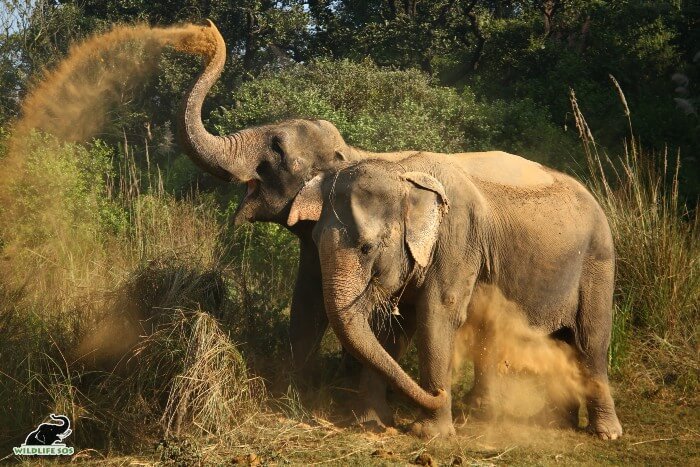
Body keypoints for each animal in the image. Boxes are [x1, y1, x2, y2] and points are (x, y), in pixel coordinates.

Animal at [288, 152, 628, 440]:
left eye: (366, 248)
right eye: (314, 240)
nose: (439, 394)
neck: (403, 172)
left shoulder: (457, 240)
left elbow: (437, 317)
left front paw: (430, 434)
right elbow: (395, 332)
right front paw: (369, 422)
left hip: (597, 262)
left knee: (590, 341)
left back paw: (605, 433)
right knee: (562, 342)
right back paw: (554, 421)